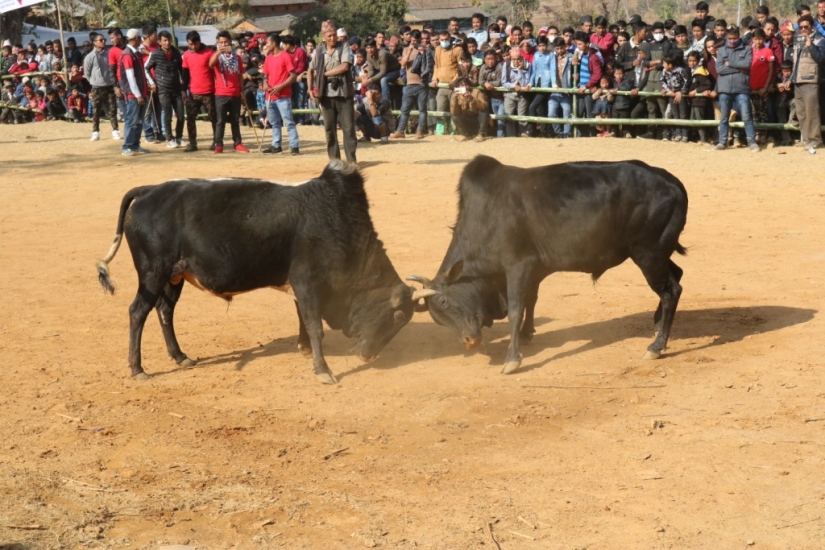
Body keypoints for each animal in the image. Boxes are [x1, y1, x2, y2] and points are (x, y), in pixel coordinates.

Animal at [98, 162, 432, 386]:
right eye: (398, 316)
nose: (368, 357)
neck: (337, 221)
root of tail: (148, 190)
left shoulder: (300, 286)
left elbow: (302, 319)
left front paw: (304, 349)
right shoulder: (309, 283)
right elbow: (315, 325)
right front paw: (323, 370)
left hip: (173, 277)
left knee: (165, 311)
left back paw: (180, 356)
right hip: (152, 273)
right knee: (138, 312)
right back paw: (138, 369)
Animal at [408, 155, 688, 376]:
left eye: (444, 301)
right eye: (438, 320)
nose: (469, 341)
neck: (486, 217)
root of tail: (673, 183)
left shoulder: (517, 267)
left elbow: (516, 309)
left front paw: (512, 359)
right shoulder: (535, 270)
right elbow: (531, 301)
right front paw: (527, 334)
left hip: (648, 254)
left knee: (670, 290)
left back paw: (656, 346)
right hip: (659, 254)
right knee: (677, 275)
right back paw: (657, 325)